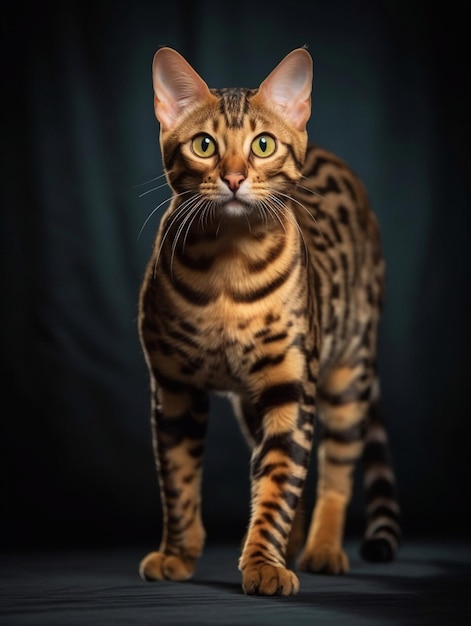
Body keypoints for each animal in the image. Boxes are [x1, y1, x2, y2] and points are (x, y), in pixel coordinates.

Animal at [137, 46, 402, 592]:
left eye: (262, 145)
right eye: (204, 145)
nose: (235, 178)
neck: (228, 264)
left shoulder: (289, 385)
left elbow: (282, 480)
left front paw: (263, 563)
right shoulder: (172, 387)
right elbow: (177, 479)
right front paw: (177, 553)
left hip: (347, 375)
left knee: (335, 468)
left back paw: (321, 547)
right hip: (250, 404)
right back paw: (295, 545)